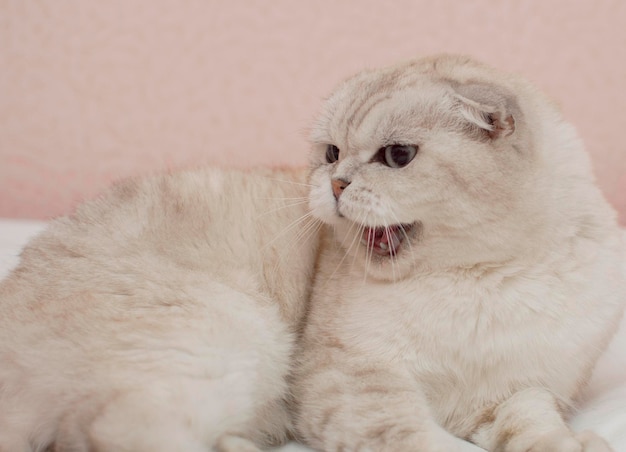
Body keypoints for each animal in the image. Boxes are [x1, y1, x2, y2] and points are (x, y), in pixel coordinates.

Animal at [292, 53, 624, 452]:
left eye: (398, 156)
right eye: (332, 153)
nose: (336, 184)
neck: (477, 278)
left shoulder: (503, 396)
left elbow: (535, 425)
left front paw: (572, 443)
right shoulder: (352, 375)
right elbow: (416, 436)